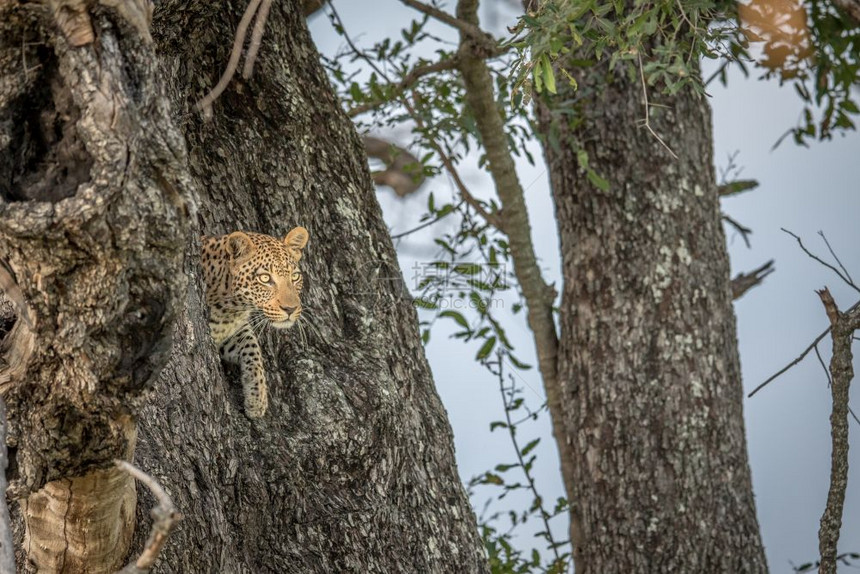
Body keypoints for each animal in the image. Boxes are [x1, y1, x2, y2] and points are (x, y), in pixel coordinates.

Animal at [202, 227, 310, 420]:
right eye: (265, 278)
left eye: (295, 276)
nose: (290, 309)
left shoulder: (235, 330)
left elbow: (252, 348)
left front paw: (257, 399)